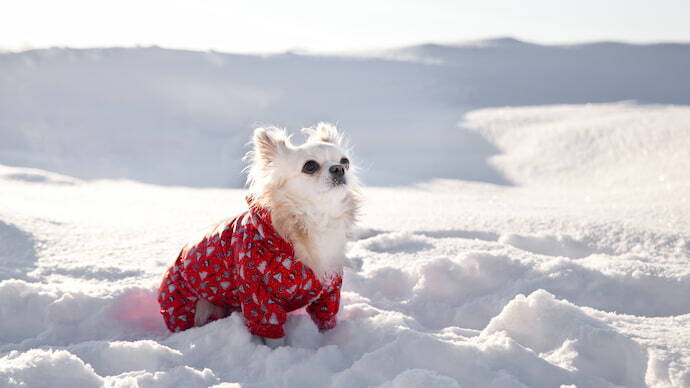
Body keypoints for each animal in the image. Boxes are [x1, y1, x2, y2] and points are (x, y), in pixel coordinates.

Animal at [157, 123, 360, 348]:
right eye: (310, 166)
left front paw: (332, 340)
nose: (339, 168)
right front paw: (280, 354)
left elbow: (326, 319)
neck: (314, 220)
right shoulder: (258, 296)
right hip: (192, 306)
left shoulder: (329, 291)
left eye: (346, 161)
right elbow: (274, 336)